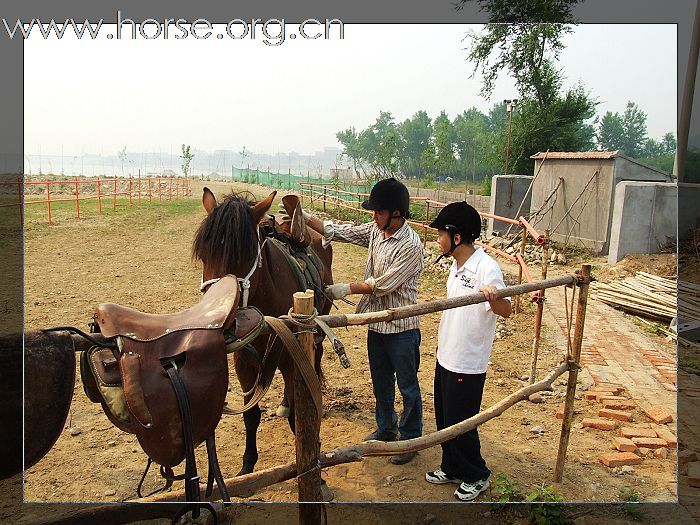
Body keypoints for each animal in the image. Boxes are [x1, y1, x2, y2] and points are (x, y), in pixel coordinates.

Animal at [191, 187, 334, 474]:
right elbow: (251, 413)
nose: (220, 322)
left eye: (245, 256)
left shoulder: (292, 357)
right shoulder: (244, 361)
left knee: (318, 354)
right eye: (203, 255)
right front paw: (247, 465)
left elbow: (298, 419)